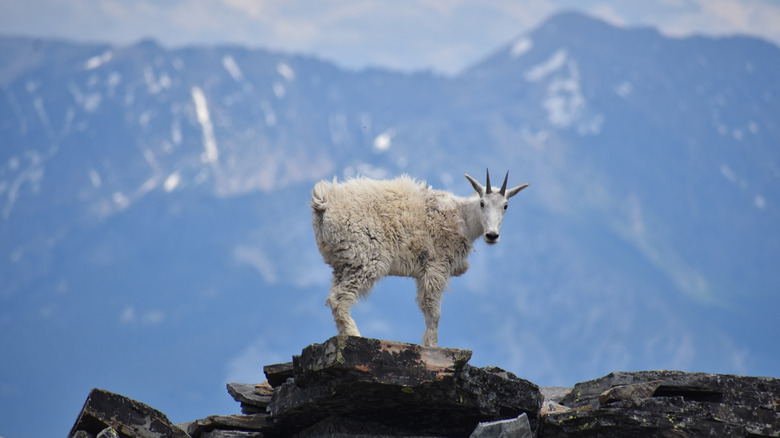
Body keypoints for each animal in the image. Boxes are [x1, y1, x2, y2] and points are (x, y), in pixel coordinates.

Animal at [310, 169, 532, 348]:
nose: (492, 235)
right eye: (482, 203)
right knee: (339, 297)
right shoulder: (437, 265)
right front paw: (432, 346)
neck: (463, 218)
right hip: (365, 258)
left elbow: (425, 306)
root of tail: (323, 203)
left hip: (344, 261)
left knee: (334, 296)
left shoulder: (423, 271)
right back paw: (355, 335)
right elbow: (434, 310)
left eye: (506, 205)